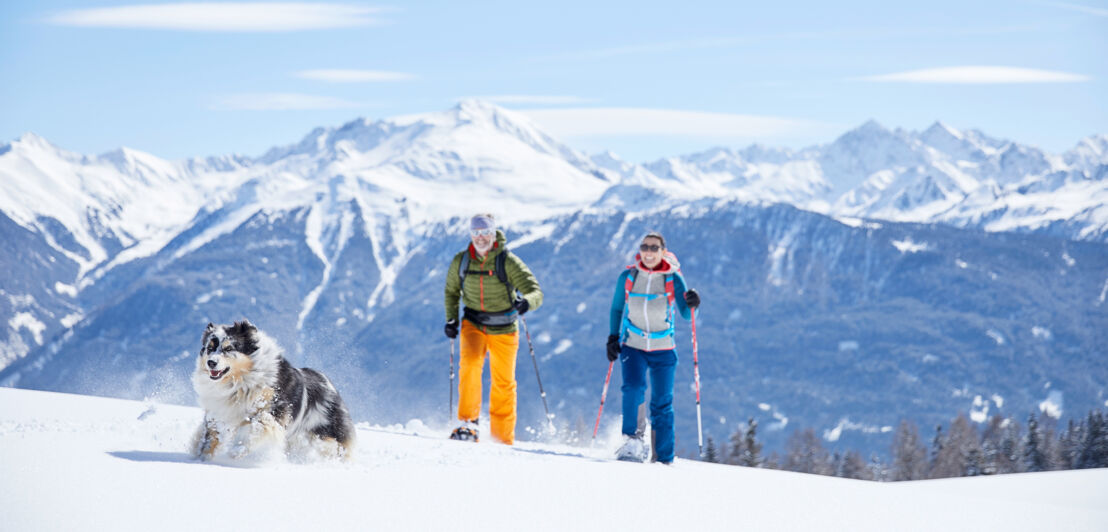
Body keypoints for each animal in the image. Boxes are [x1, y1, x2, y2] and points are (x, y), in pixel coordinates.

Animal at [190, 319, 354, 461]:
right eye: (209, 348)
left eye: (229, 348)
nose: (211, 362)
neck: (240, 382)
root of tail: (329, 384)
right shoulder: (219, 410)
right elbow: (211, 436)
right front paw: (202, 458)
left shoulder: (275, 408)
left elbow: (261, 424)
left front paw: (237, 450)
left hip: (324, 435)